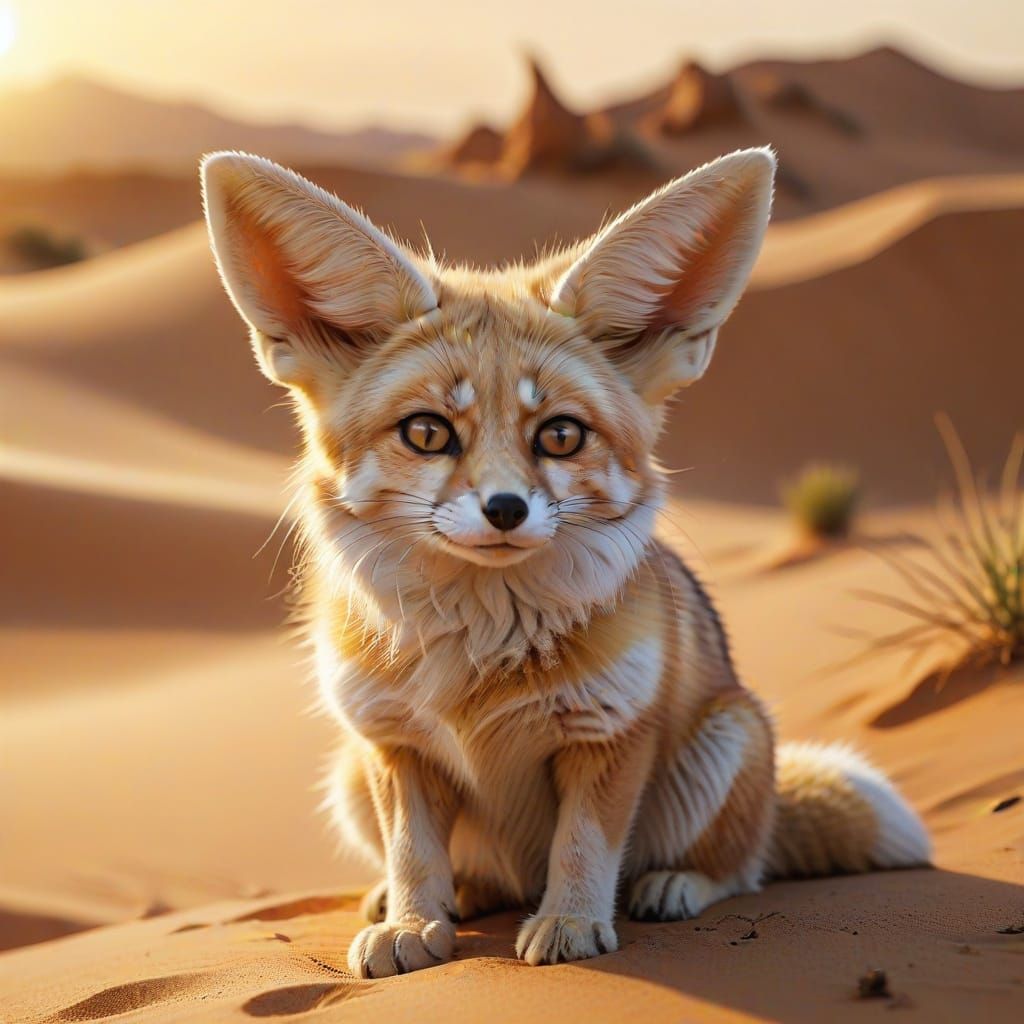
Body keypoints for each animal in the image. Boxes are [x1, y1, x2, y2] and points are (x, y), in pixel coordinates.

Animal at [201, 146, 930, 977]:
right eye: (427, 433)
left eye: (559, 435)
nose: (506, 509)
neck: (478, 655)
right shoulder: (394, 742)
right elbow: (414, 853)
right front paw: (414, 923)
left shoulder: (607, 733)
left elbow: (583, 846)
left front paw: (573, 924)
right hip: (350, 775)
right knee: (469, 873)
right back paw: (435, 898)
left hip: (729, 736)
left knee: (742, 867)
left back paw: (673, 884)